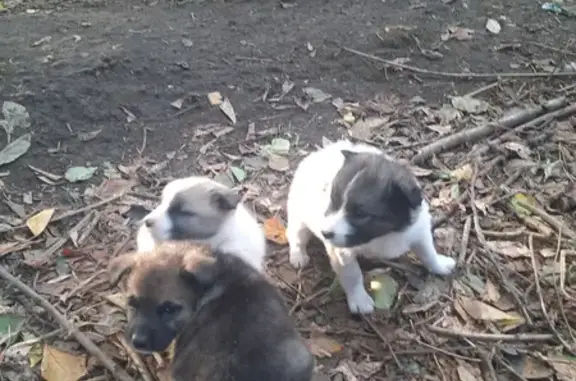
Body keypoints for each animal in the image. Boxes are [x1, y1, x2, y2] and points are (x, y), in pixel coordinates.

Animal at [286, 139, 456, 312]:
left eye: (361, 214)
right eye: (332, 201)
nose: (324, 233)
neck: (383, 235)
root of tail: (317, 154)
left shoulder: (419, 230)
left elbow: (428, 252)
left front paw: (439, 265)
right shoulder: (342, 252)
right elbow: (353, 274)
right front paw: (359, 300)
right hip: (298, 216)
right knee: (295, 235)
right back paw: (298, 255)